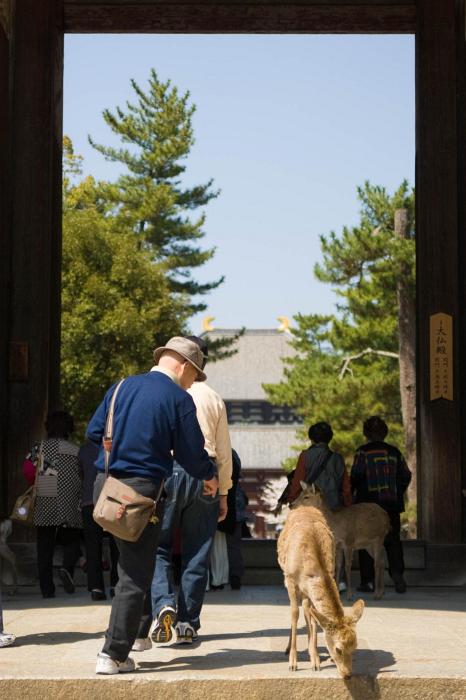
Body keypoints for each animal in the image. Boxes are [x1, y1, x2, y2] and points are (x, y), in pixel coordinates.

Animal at [276, 504, 364, 680]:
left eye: (355, 646)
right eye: (338, 648)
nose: (348, 675)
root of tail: (302, 506)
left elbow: (313, 617)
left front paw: (315, 660)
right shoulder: (290, 580)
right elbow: (294, 613)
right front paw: (293, 663)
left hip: (305, 592)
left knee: (308, 612)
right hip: (287, 578)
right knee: (298, 611)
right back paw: (288, 649)